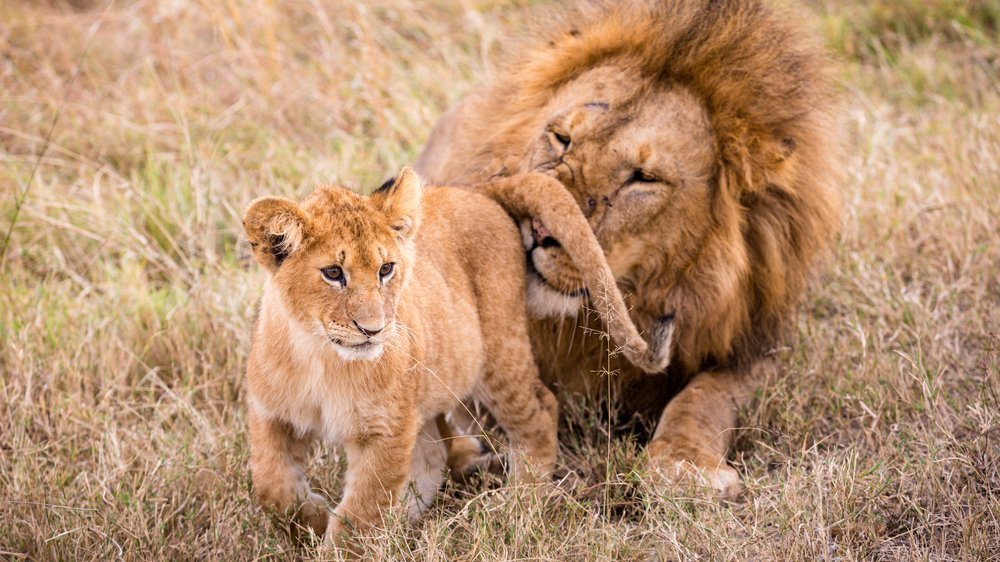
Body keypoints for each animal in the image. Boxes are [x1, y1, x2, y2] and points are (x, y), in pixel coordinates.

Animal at [414, 0, 844, 492]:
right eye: (561, 138)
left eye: (644, 178)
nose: (537, 227)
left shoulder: (758, 347)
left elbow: (708, 394)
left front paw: (683, 465)